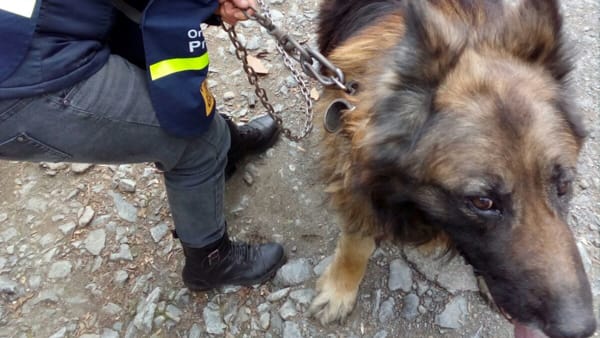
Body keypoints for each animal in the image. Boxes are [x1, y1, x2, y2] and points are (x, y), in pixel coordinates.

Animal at [310, 0, 596, 338]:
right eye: (482, 202)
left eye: (564, 185)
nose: (579, 328)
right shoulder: (355, 177)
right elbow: (356, 242)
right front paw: (339, 289)